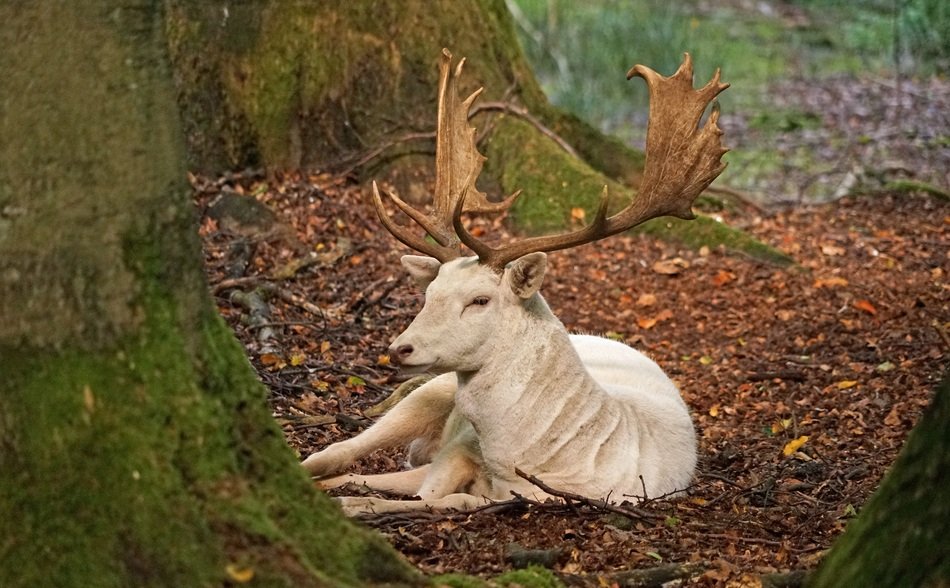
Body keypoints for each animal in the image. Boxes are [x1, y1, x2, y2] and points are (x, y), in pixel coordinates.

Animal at [302, 49, 728, 515]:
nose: (400, 348)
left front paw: (353, 504)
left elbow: (444, 500)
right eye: (428, 294)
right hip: (431, 389)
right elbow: (425, 491)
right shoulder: (459, 447)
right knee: (339, 450)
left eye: (480, 300)